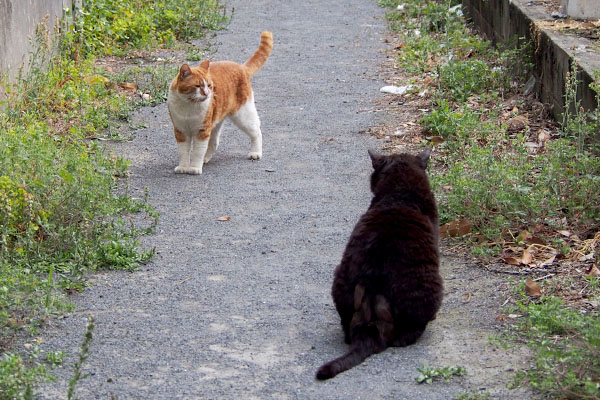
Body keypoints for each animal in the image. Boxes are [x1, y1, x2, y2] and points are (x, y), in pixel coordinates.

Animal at [166, 31, 274, 175]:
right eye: (197, 86)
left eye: (209, 85)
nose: (207, 93)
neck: (189, 105)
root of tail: (241, 67)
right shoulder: (181, 131)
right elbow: (183, 152)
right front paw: (183, 167)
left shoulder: (202, 131)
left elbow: (197, 152)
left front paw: (194, 168)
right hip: (216, 121)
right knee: (214, 142)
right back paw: (205, 159)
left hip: (242, 115)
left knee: (256, 131)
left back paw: (255, 152)